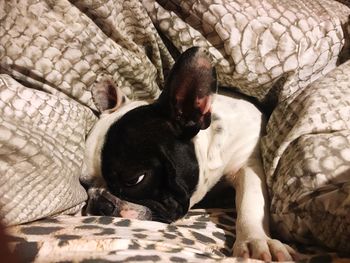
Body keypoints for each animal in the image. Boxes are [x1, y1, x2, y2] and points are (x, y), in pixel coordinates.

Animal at [82, 47, 298, 262]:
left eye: (134, 180)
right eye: (84, 185)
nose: (100, 205)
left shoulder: (246, 162)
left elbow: (251, 200)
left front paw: (256, 240)